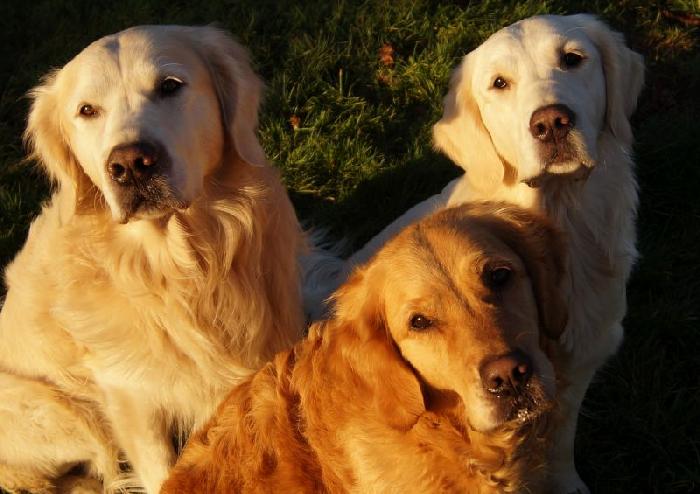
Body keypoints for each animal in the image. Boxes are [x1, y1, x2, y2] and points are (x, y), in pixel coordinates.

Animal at [0, 26, 305, 493]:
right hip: (62, 411)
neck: (182, 266)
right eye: (87, 110)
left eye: (170, 86)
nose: (129, 164)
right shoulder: (131, 399)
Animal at [303, 14, 644, 493]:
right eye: (499, 83)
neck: (561, 214)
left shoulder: (580, 363)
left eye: (573, 59)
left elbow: (561, 442)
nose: (551, 123)